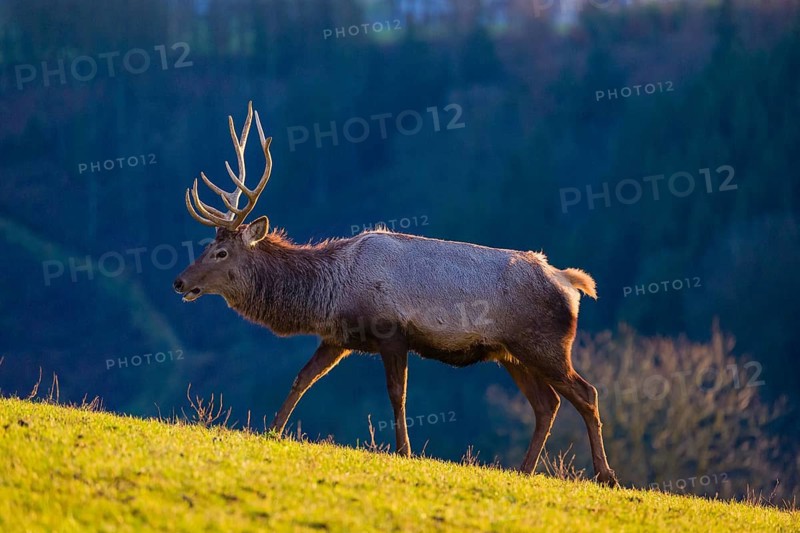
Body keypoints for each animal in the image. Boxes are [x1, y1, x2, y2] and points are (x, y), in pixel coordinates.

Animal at [173, 101, 619, 486]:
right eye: (207, 245)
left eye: (220, 252)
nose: (179, 281)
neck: (332, 289)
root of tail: (572, 284)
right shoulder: (338, 338)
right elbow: (302, 379)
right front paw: (272, 431)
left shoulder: (393, 332)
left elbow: (396, 395)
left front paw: (404, 450)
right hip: (511, 353)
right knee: (547, 404)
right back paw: (525, 470)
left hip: (546, 344)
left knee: (586, 393)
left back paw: (605, 475)